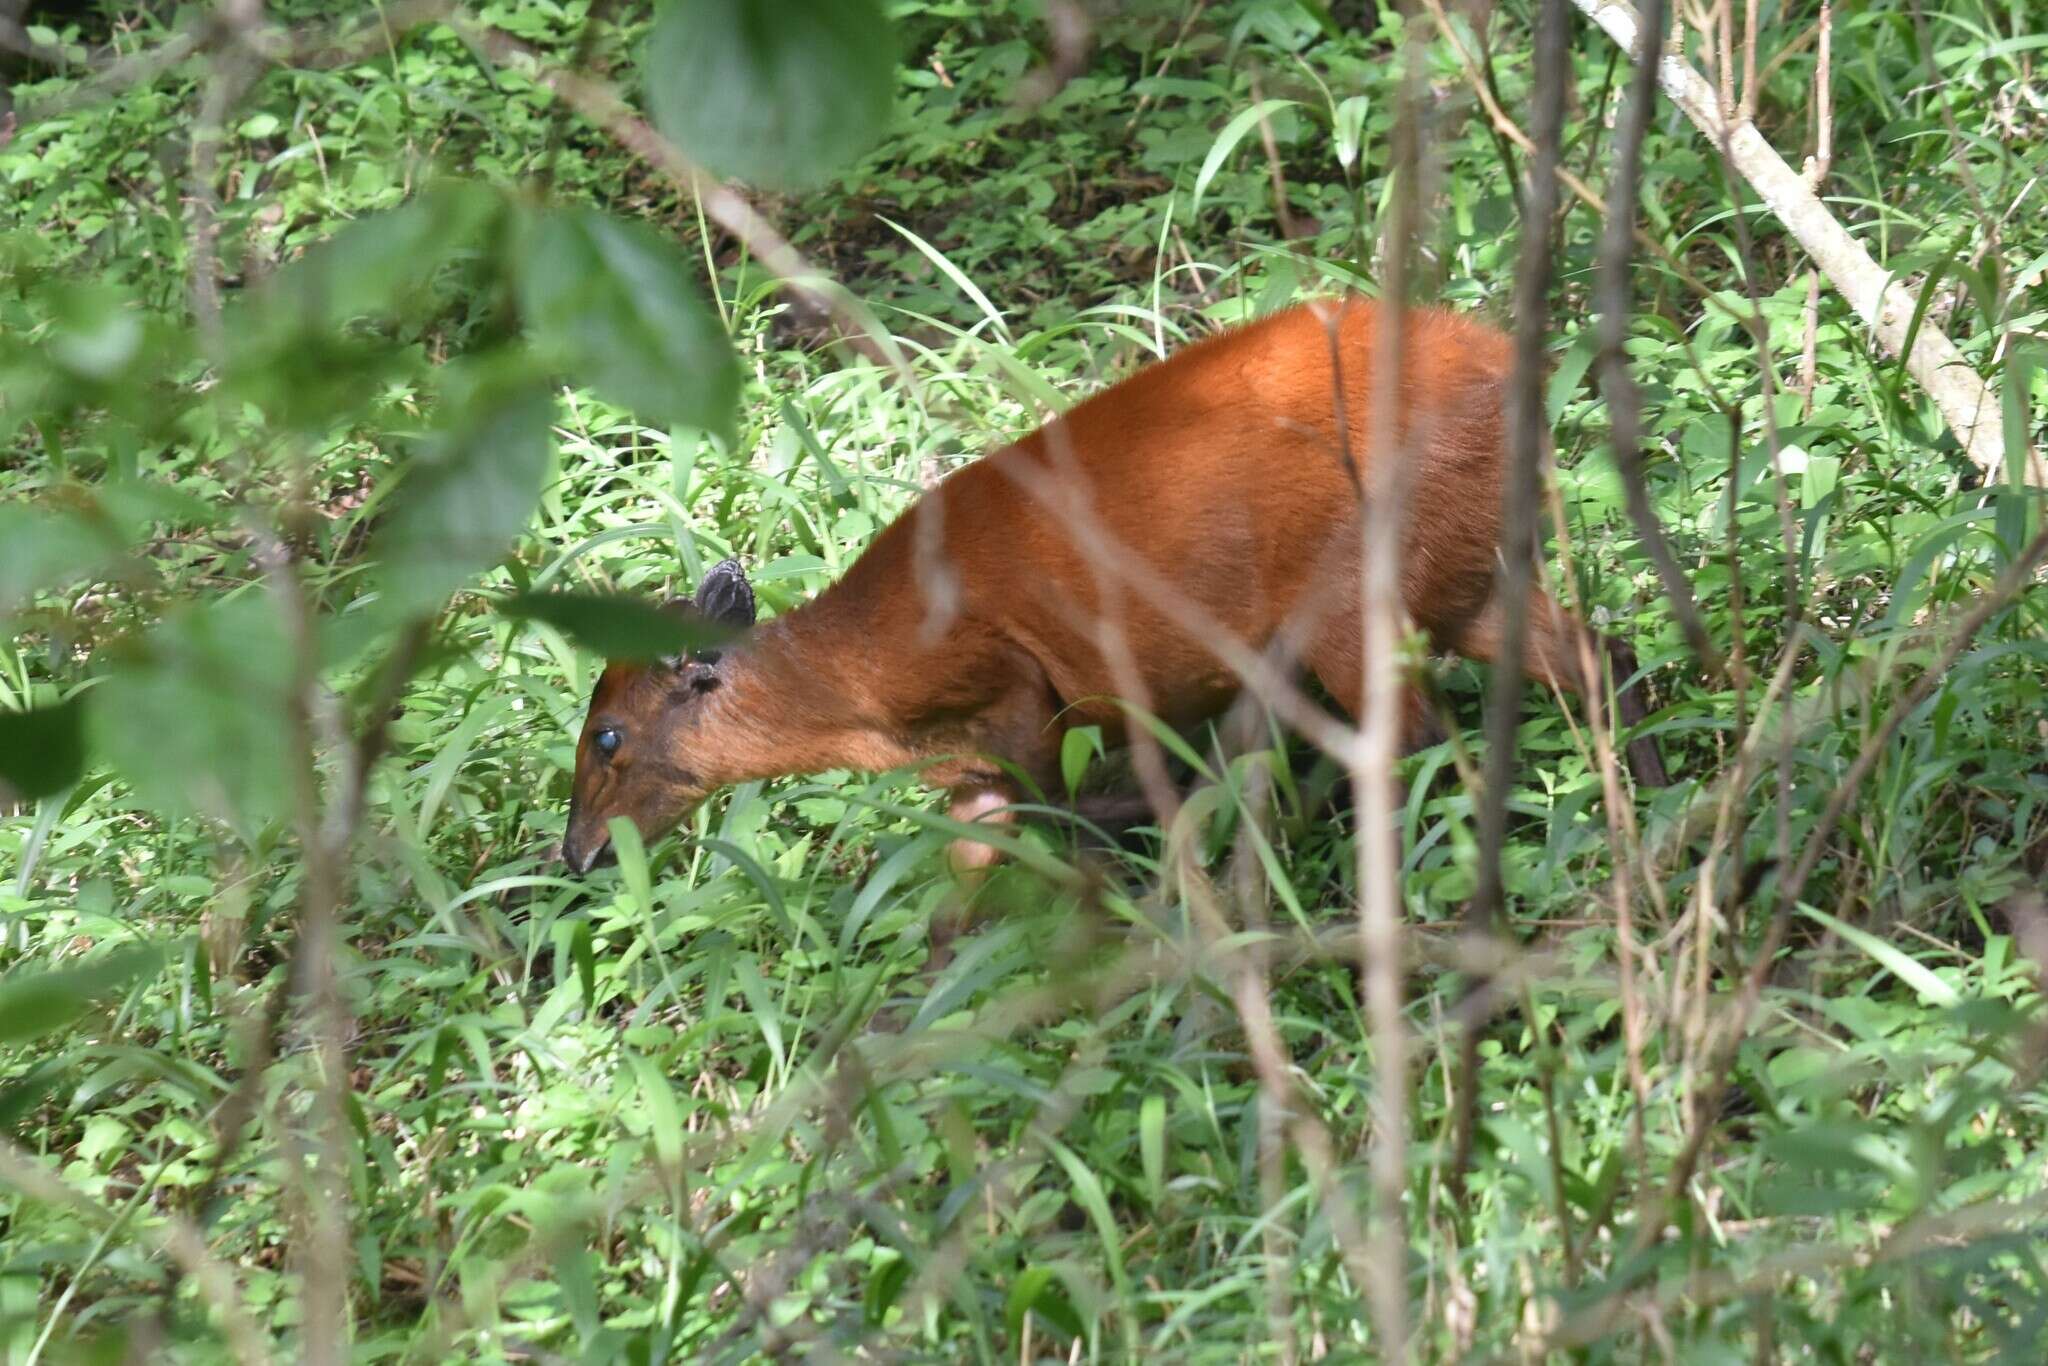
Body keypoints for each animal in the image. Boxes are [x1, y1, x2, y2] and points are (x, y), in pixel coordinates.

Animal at [561, 299, 1662, 876]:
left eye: (606, 735)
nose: (575, 854)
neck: (868, 682)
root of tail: (1518, 371)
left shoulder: (1016, 696)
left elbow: (1077, 821)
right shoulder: (974, 766)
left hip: (1363, 598)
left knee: (1425, 747)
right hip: (1469, 570)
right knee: (1601, 656)